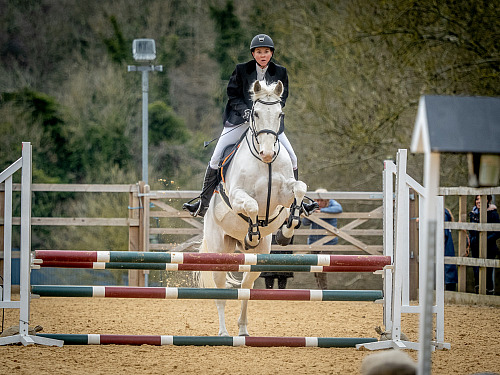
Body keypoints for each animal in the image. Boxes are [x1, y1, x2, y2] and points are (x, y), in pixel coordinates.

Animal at [199, 80, 308, 338]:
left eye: (280, 114)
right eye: (255, 113)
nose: (267, 154)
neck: (264, 164)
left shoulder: (284, 193)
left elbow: (300, 188)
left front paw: (288, 229)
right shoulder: (238, 195)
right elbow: (252, 205)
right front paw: (253, 231)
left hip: (258, 258)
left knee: (246, 287)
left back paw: (243, 329)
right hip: (219, 250)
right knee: (220, 290)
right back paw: (223, 332)